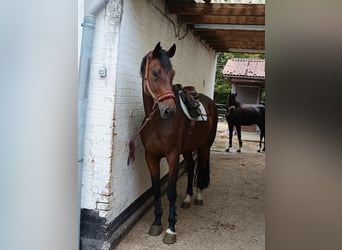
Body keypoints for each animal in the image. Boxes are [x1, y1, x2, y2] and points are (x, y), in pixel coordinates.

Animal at [138, 43, 216, 244]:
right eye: (155, 72)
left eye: (172, 74)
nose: (169, 110)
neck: (157, 123)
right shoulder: (150, 156)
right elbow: (156, 189)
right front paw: (157, 223)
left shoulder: (172, 155)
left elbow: (171, 192)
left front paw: (171, 229)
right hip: (187, 149)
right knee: (190, 166)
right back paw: (187, 199)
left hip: (204, 147)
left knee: (201, 167)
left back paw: (198, 196)